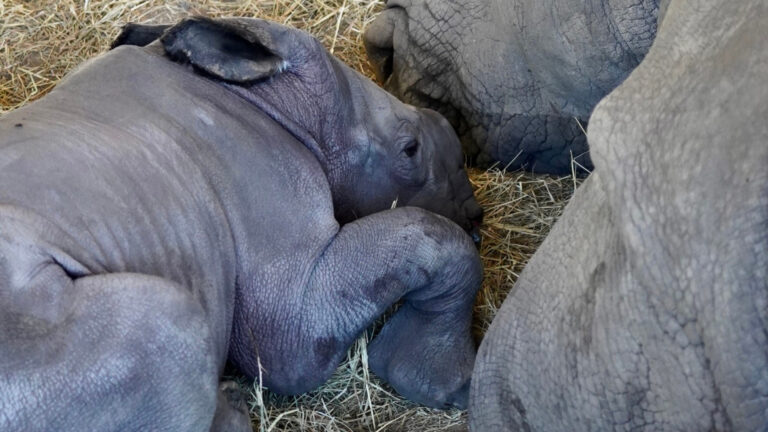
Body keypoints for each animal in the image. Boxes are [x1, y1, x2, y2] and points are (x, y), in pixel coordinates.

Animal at [0, 17, 484, 431]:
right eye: (409, 149)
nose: (476, 215)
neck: (266, 99)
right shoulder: (289, 299)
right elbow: (433, 238)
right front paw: (451, 385)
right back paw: (231, 402)